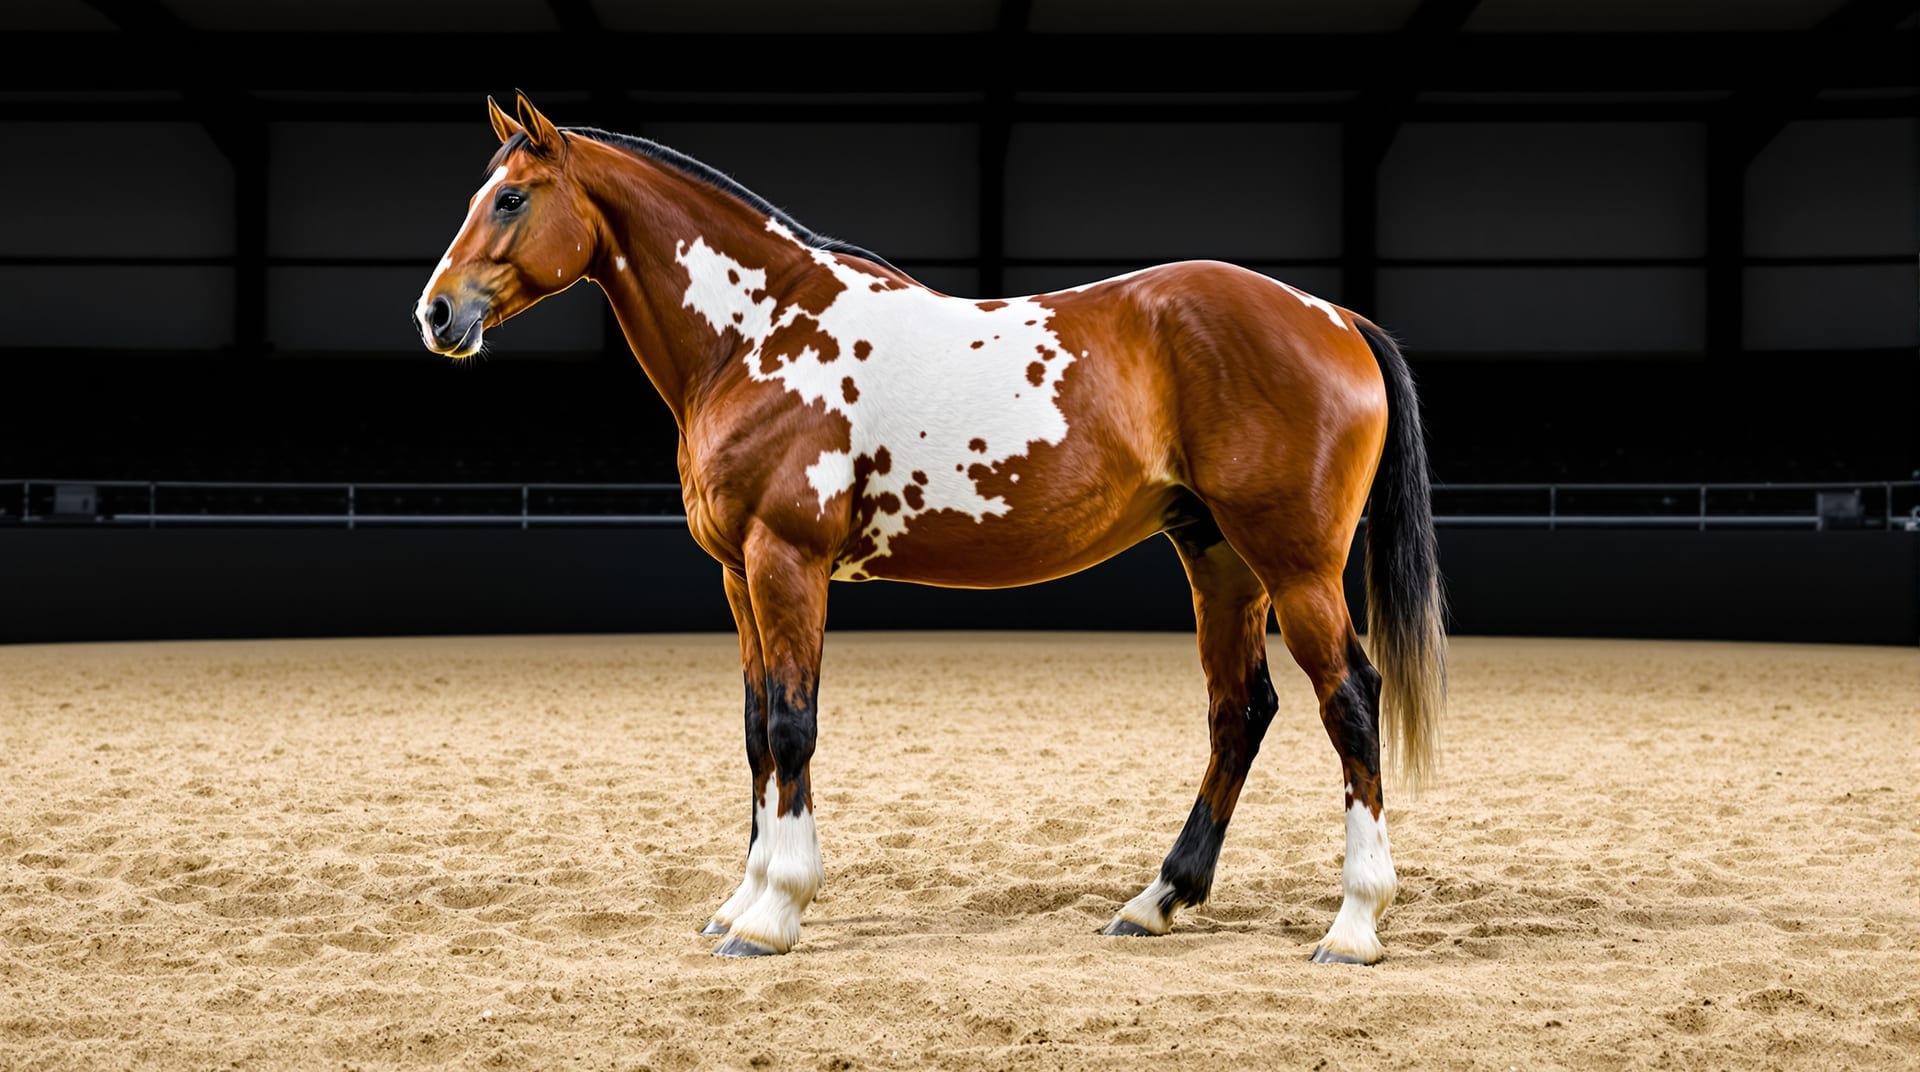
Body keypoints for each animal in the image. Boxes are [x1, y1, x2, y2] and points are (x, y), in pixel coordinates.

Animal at [414, 92, 1447, 964]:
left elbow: (791, 726)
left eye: (510, 198)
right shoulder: (738, 576)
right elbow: (755, 733)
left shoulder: (787, 561)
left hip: (1295, 564)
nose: (436, 313)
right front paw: (741, 899)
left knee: (1349, 700)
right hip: (1218, 557)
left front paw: (775, 913)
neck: (758, 335)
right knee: (1240, 712)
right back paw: (1154, 902)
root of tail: (1333, 315)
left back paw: (1354, 925)